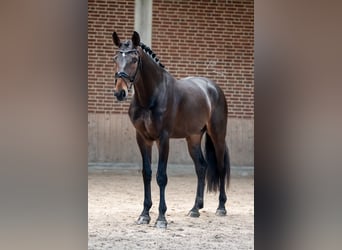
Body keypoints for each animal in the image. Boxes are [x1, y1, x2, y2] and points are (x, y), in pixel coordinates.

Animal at [112, 31, 230, 229]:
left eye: (134, 60)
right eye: (115, 58)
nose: (120, 92)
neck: (151, 96)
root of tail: (213, 88)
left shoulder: (163, 139)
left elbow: (161, 176)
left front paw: (161, 218)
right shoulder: (142, 138)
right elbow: (146, 174)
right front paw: (144, 214)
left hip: (218, 135)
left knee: (220, 166)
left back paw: (221, 207)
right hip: (193, 138)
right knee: (201, 167)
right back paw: (195, 209)